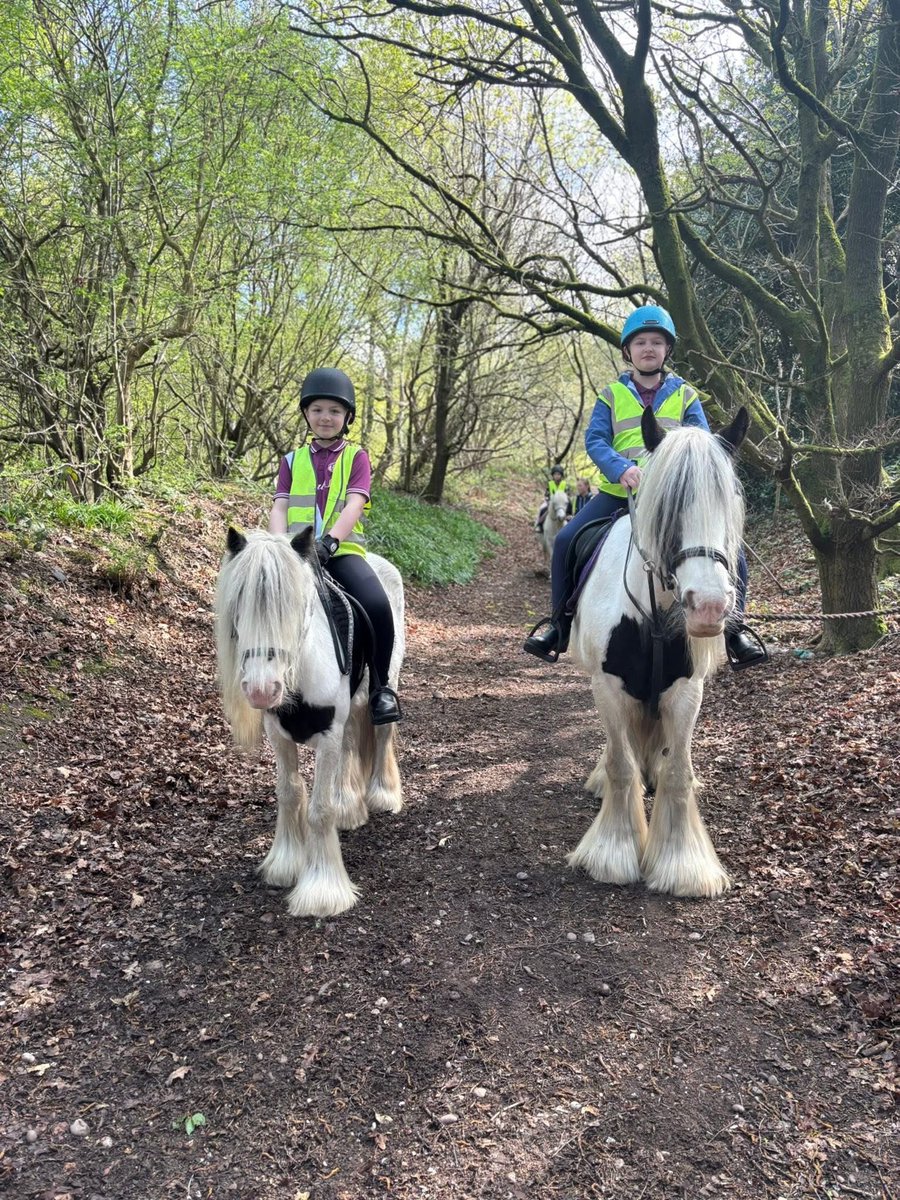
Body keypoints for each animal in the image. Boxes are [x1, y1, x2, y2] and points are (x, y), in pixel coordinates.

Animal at [214, 527, 405, 918]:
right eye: (238, 603)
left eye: (293, 605)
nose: (261, 689)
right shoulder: (280, 735)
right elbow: (289, 793)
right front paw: (285, 864)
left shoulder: (327, 734)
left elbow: (319, 809)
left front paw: (322, 890)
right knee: (352, 744)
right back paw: (350, 806)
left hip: (387, 682)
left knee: (381, 736)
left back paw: (382, 795)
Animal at [567, 405, 749, 898]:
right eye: (669, 508)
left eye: (729, 503)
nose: (708, 607)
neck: (651, 615)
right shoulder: (608, 686)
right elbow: (621, 766)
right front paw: (613, 854)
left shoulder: (686, 691)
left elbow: (676, 773)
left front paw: (682, 865)